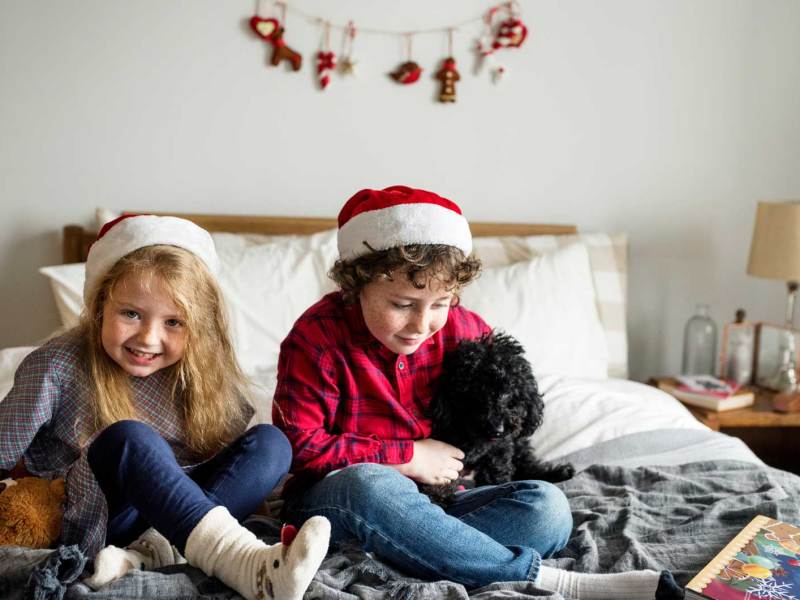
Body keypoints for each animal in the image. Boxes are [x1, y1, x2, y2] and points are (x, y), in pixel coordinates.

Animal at [418, 332, 576, 506]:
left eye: (508, 393)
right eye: (474, 393)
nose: (497, 430)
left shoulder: (500, 449)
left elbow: (496, 472)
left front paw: (496, 488)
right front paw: (439, 496)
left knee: (527, 464)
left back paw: (560, 472)